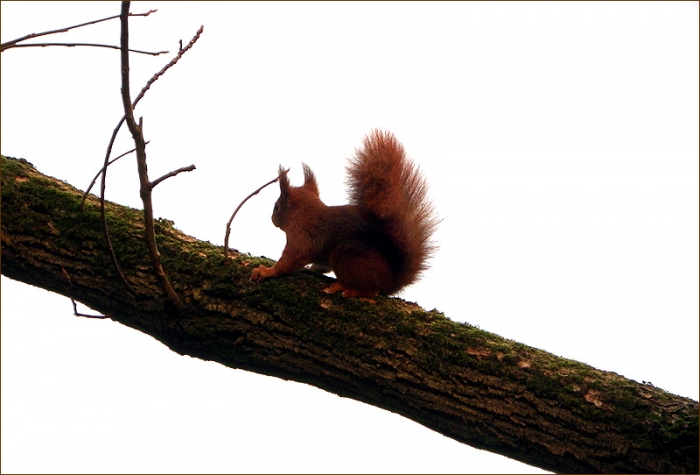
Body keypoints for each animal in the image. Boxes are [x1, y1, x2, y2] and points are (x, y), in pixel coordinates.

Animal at [250, 130, 439, 298]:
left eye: (276, 207)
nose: (272, 219)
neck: (305, 214)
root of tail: (391, 282)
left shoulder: (303, 237)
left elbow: (291, 259)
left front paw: (267, 271)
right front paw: (311, 268)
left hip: (346, 256)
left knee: (371, 292)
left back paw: (348, 289)